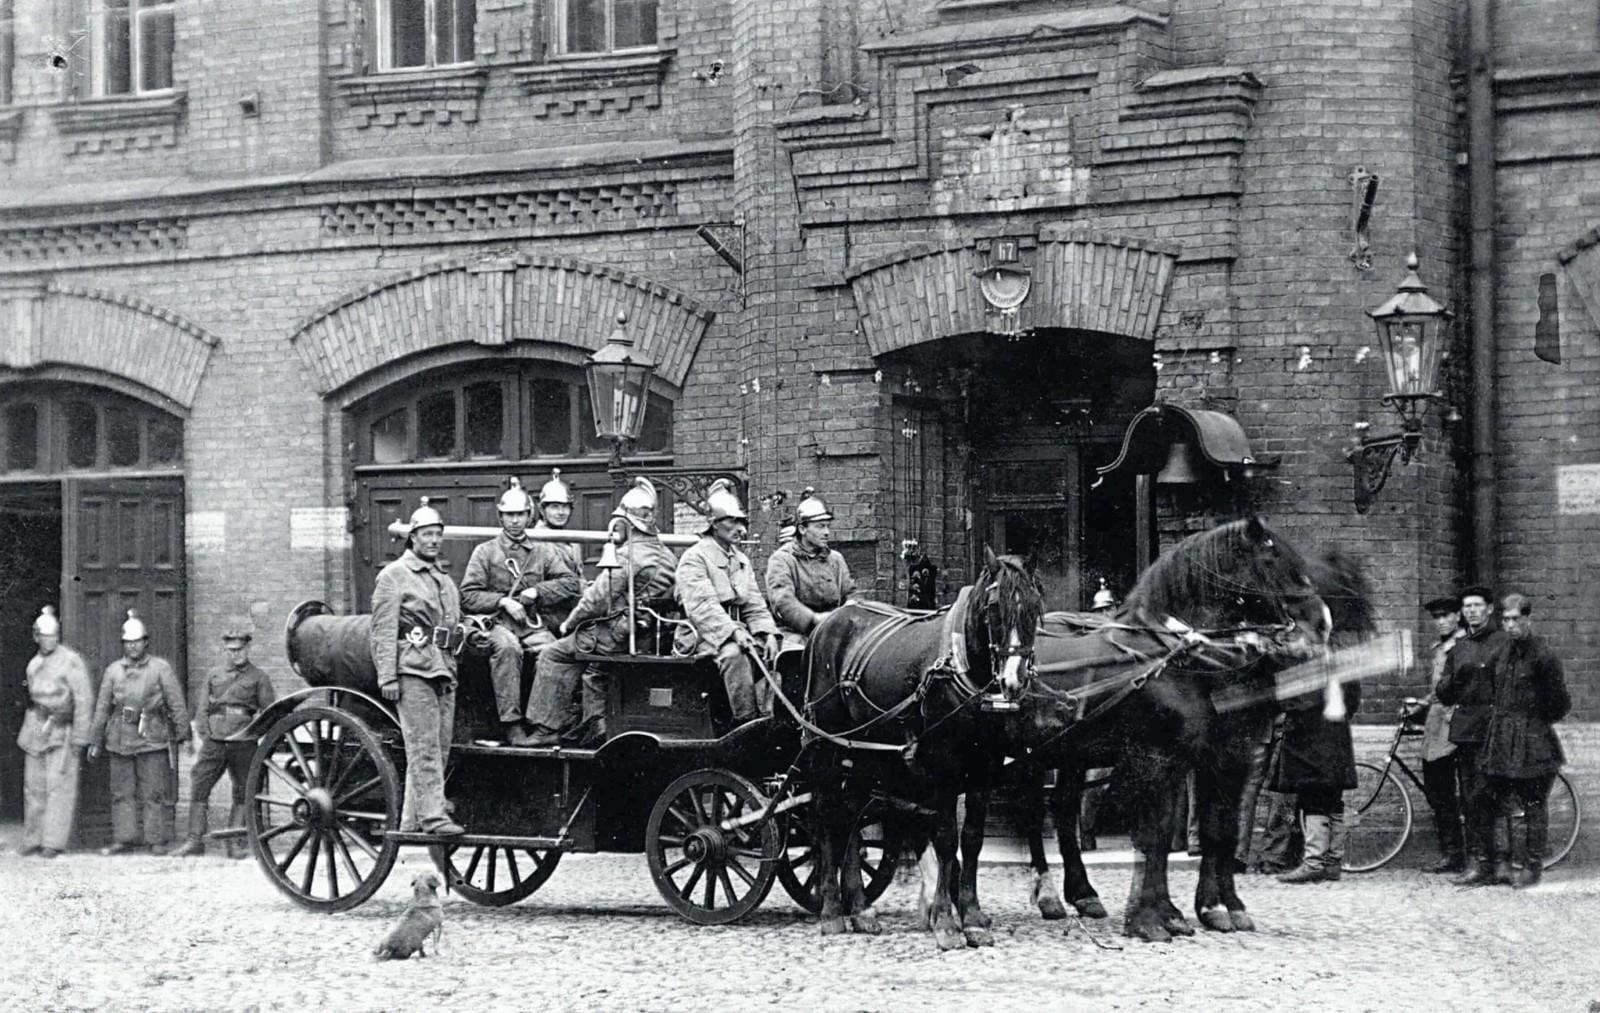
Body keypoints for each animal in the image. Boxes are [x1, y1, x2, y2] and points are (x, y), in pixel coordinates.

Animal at [796, 544, 1049, 947]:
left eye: (1034, 606)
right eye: (994, 607)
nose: (1014, 680)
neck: (962, 667)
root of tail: (827, 623)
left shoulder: (984, 767)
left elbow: (972, 840)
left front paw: (973, 917)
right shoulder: (942, 766)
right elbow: (945, 839)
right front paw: (946, 921)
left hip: (864, 751)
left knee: (851, 813)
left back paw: (860, 910)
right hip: (825, 746)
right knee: (825, 814)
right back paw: (832, 911)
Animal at [934, 518, 1337, 947]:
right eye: (1272, 560)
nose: (1322, 621)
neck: (1173, 656)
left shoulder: (1209, 757)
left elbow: (1207, 829)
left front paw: (1196, 910)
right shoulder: (1159, 757)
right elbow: (1153, 834)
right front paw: (1151, 919)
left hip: (1067, 752)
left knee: (1062, 810)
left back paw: (1082, 894)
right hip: (1027, 752)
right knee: (1031, 812)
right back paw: (1044, 895)